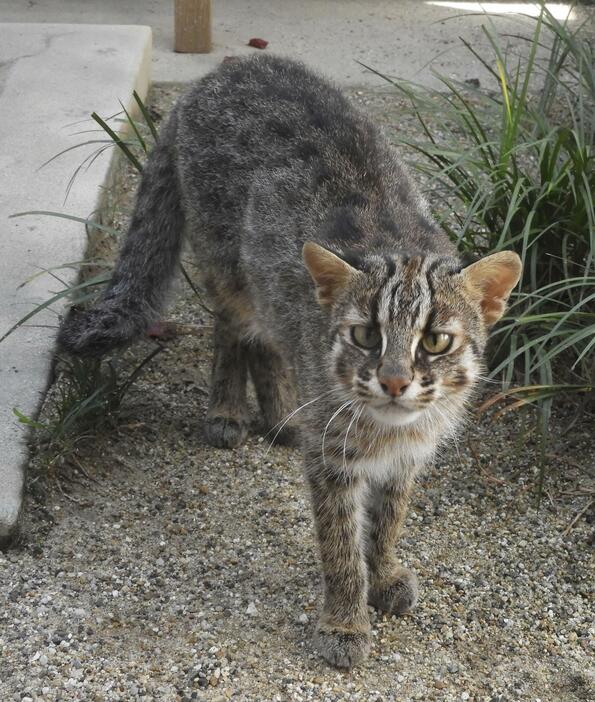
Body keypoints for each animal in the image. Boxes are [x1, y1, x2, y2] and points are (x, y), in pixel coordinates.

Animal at [57, 55, 520, 672]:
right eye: (366, 335)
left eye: (437, 341)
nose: (395, 380)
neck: (389, 429)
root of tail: (223, 69)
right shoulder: (331, 459)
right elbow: (340, 545)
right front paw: (345, 621)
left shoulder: (408, 457)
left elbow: (389, 521)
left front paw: (384, 571)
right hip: (230, 267)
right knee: (235, 330)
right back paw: (230, 409)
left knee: (271, 340)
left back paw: (279, 413)